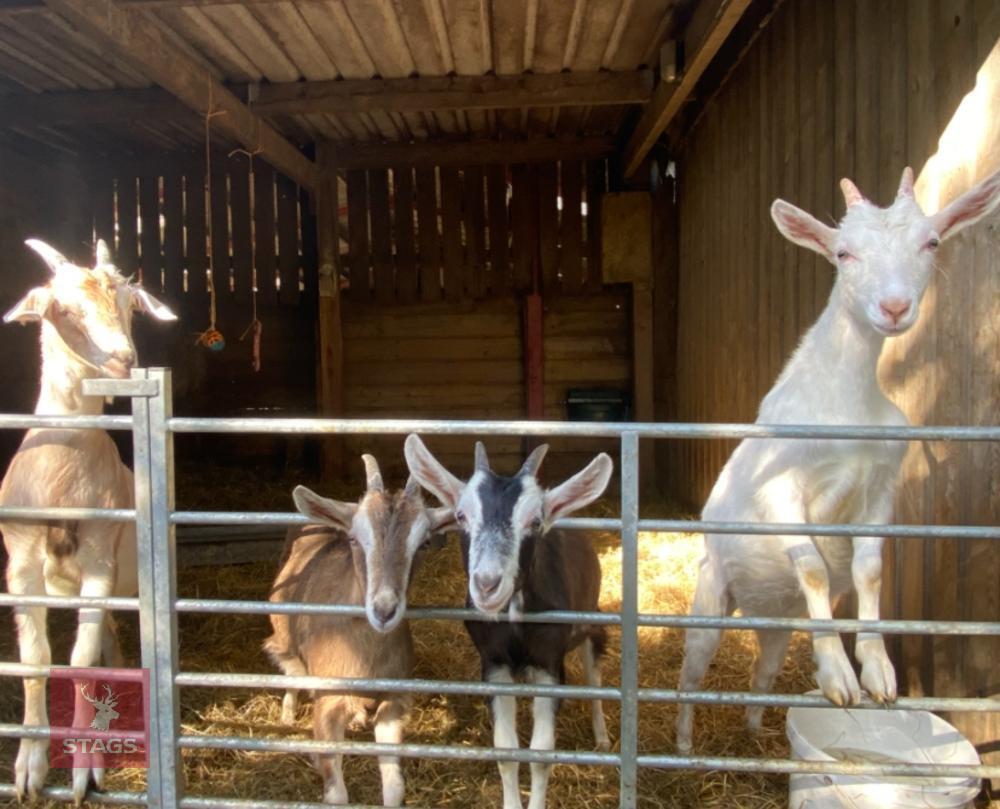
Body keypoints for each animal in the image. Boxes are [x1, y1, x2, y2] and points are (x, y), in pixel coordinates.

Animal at [1, 239, 176, 802]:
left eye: (129, 305)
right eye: (64, 310)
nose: (124, 359)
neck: (62, 475)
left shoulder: (99, 560)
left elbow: (78, 661)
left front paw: (83, 770)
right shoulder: (21, 563)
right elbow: (36, 659)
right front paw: (28, 769)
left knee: (105, 648)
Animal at [263, 455, 453, 806]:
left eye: (423, 544)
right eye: (354, 539)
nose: (384, 610)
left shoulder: (394, 699)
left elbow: (394, 786)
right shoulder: (328, 697)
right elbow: (337, 792)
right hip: (284, 638)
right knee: (291, 669)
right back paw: (288, 713)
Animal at [404, 434, 613, 809]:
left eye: (535, 522)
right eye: (461, 515)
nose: (487, 584)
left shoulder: (548, 663)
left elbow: (541, 754)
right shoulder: (495, 664)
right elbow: (506, 750)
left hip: (592, 621)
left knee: (594, 677)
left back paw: (602, 738)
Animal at [675, 166, 1000, 753]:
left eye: (932, 242)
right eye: (843, 253)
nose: (894, 308)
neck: (847, 406)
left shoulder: (881, 487)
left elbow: (869, 569)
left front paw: (875, 674)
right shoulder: (779, 489)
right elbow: (813, 567)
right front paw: (842, 677)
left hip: (780, 623)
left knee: (764, 669)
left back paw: (757, 729)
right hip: (711, 595)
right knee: (693, 672)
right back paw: (685, 743)